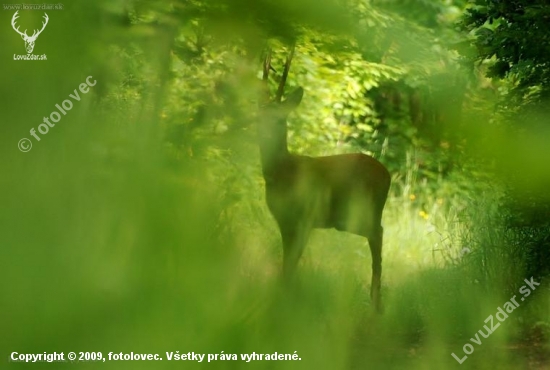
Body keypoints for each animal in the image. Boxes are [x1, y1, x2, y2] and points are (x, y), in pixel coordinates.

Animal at [260, 47, 392, 312]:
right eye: (257, 117)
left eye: (279, 119)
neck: (283, 173)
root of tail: (388, 175)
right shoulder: (284, 221)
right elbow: (286, 263)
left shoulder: (304, 217)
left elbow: (291, 263)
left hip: (357, 212)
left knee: (378, 233)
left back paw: (376, 303)